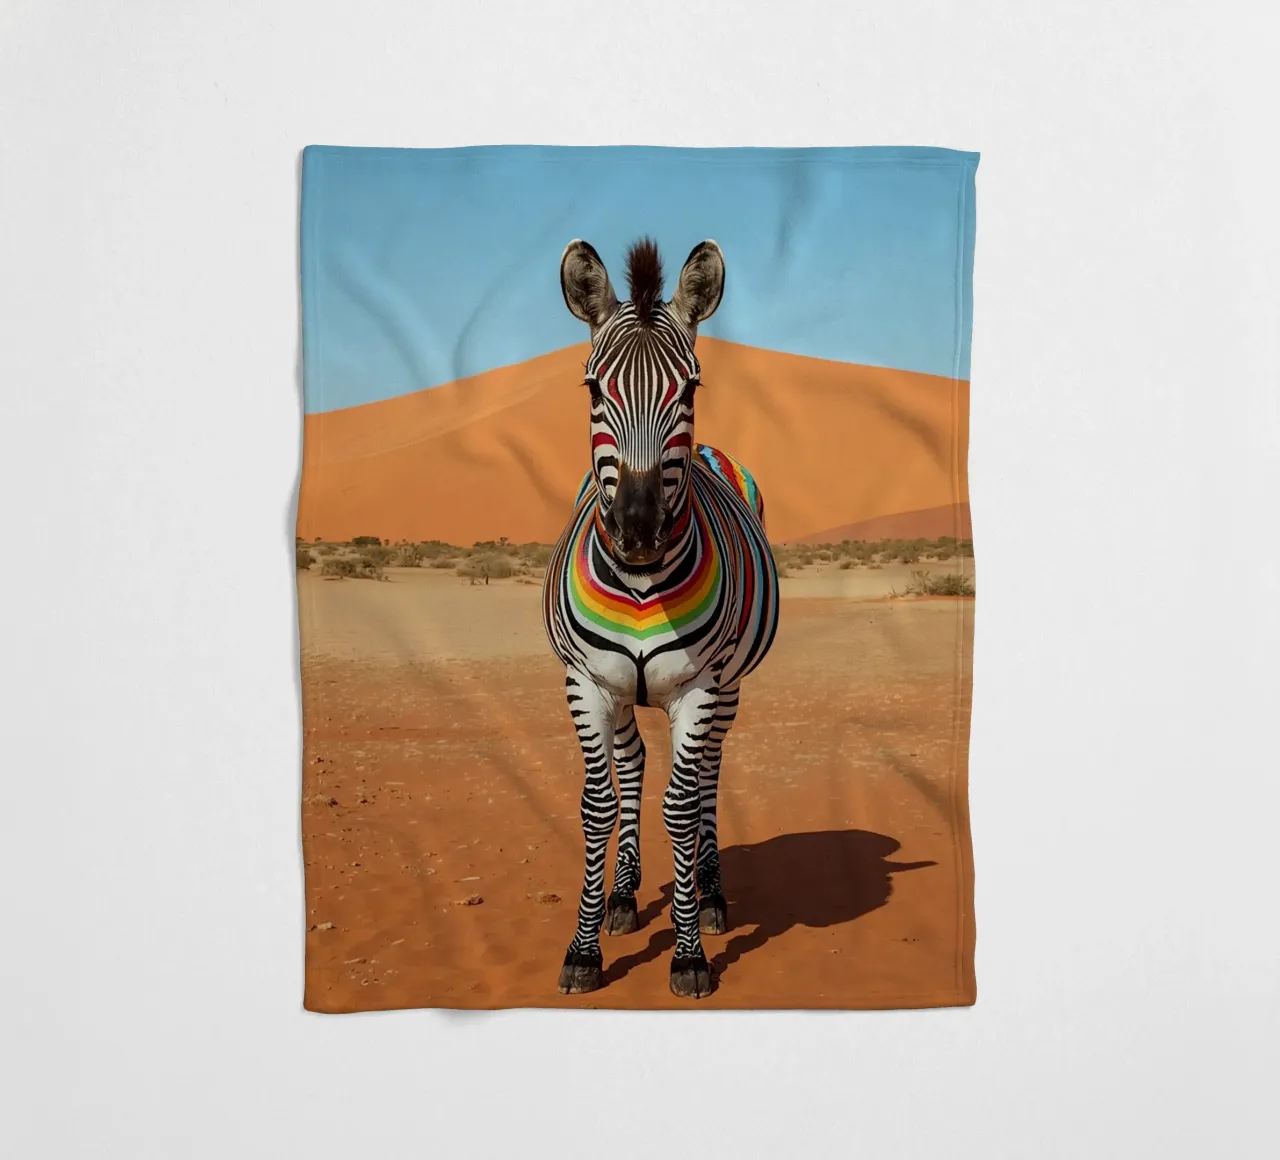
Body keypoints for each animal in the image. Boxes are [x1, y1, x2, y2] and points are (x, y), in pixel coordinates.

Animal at [542, 236, 779, 998]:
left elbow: (680, 805)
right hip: (621, 692)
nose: (640, 530)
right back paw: (622, 895)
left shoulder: (698, 687)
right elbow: (598, 804)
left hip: (730, 686)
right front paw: (585, 947)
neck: (645, 584)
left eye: (691, 390)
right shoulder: (585, 682)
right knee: (633, 763)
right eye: (593, 390)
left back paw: (708, 896)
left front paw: (687, 953)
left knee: (704, 776)